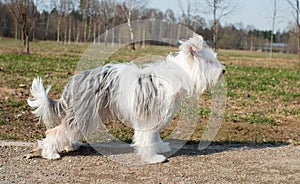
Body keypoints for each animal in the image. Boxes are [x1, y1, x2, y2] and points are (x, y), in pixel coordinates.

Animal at [27, 33, 225, 163]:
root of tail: (75, 78)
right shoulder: (148, 115)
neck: (178, 75)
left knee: (66, 130)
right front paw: (153, 157)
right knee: (55, 132)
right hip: (84, 113)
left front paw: (160, 147)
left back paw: (69, 145)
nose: (223, 70)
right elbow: (146, 138)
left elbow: (154, 135)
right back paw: (50, 153)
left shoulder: (154, 115)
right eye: (208, 61)